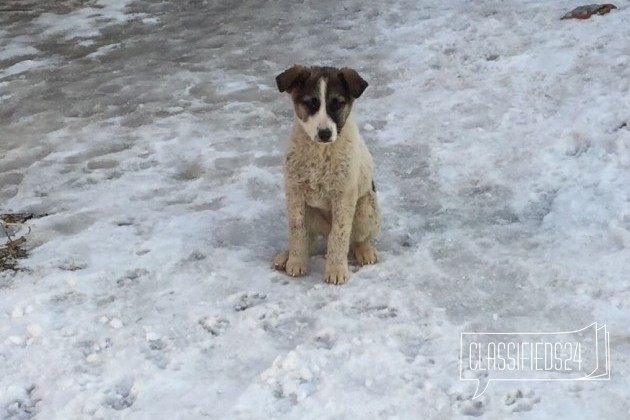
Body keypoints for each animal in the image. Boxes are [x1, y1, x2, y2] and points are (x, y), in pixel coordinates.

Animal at [272, 65, 380, 286]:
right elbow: (297, 230)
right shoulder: (294, 191)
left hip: (366, 207)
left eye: (336, 104)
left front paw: (336, 270)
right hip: (312, 212)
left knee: (356, 238)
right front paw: (296, 262)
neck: (320, 152)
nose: (324, 134)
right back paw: (287, 255)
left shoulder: (344, 196)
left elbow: (339, 236)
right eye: (311, 103)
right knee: (311, 238)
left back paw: (364, 251)